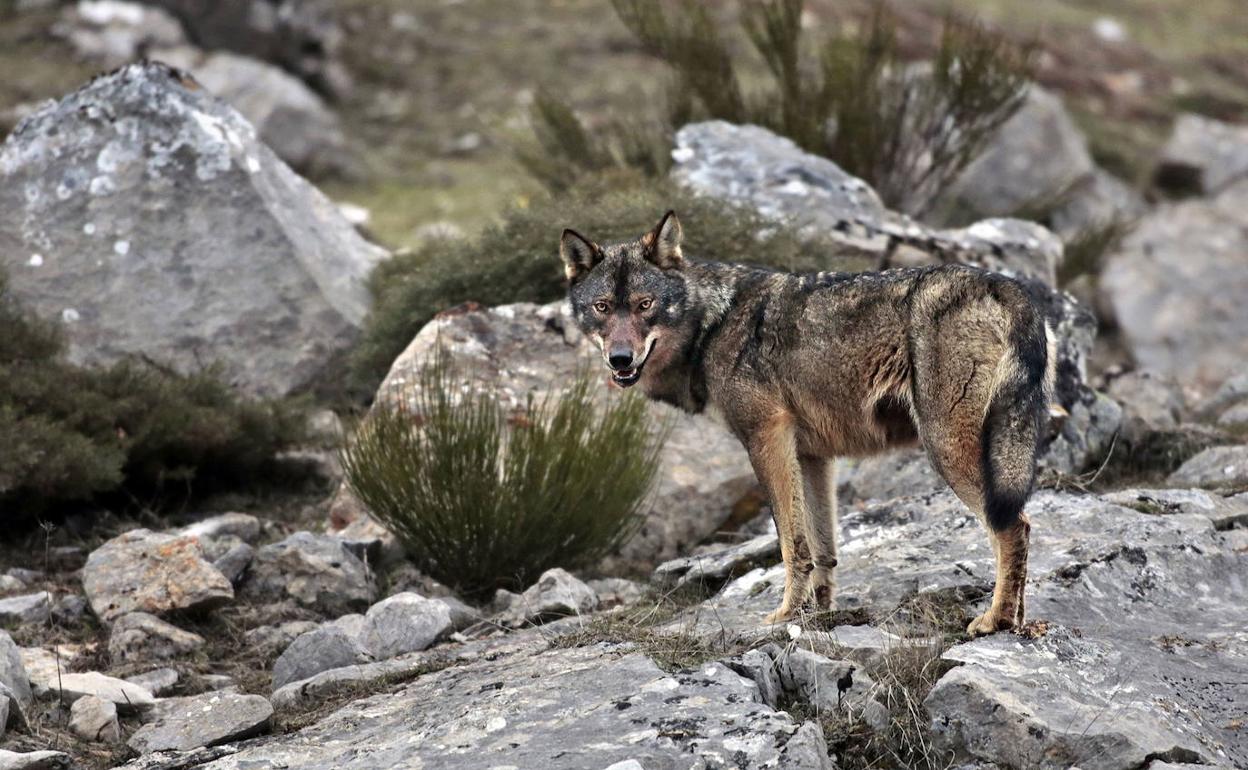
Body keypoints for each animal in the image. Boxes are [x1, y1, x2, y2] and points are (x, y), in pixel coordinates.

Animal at [561, 212, 1058, 636]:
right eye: (602, 307)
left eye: (645, 305)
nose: (620, 359)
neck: (711, 325)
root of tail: (1008, 286)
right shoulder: (814, 456)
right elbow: (823, 549)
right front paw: (819, 613)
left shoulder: (767, 438)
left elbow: (790, 543)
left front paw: (784, 614)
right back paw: (1018, 620)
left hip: (947, 449)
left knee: (1013, 526)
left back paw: (995, 619)